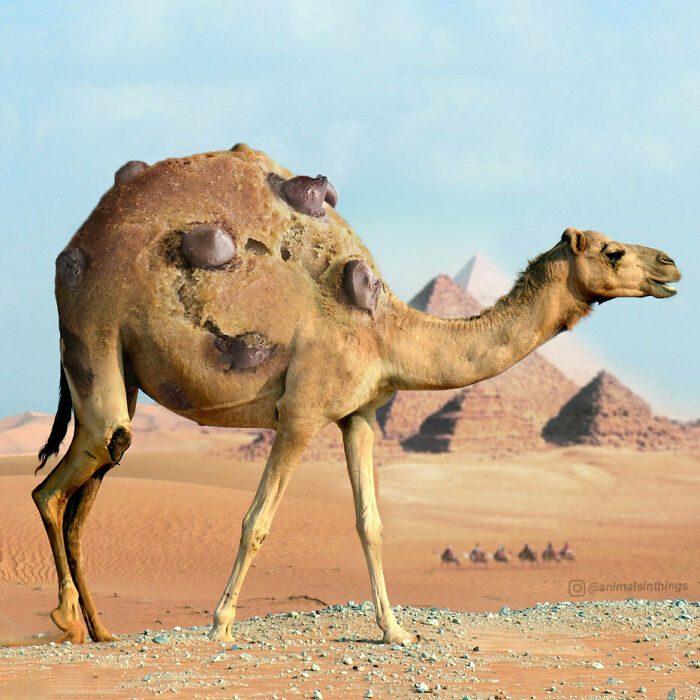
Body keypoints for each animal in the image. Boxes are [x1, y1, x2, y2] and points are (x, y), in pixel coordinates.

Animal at [29, 144, 680, 647]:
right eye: (613, 251)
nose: (670, 265)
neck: (386, 330)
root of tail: (77, 241)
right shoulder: (301, 413)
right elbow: (256, 521)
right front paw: (220, 625)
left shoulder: (360, 414)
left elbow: (371, 523)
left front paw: (395, 631)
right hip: (93, 326)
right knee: (58, 483)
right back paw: (65, 618)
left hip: (123, 374)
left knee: (87, 489)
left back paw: (99, 630)